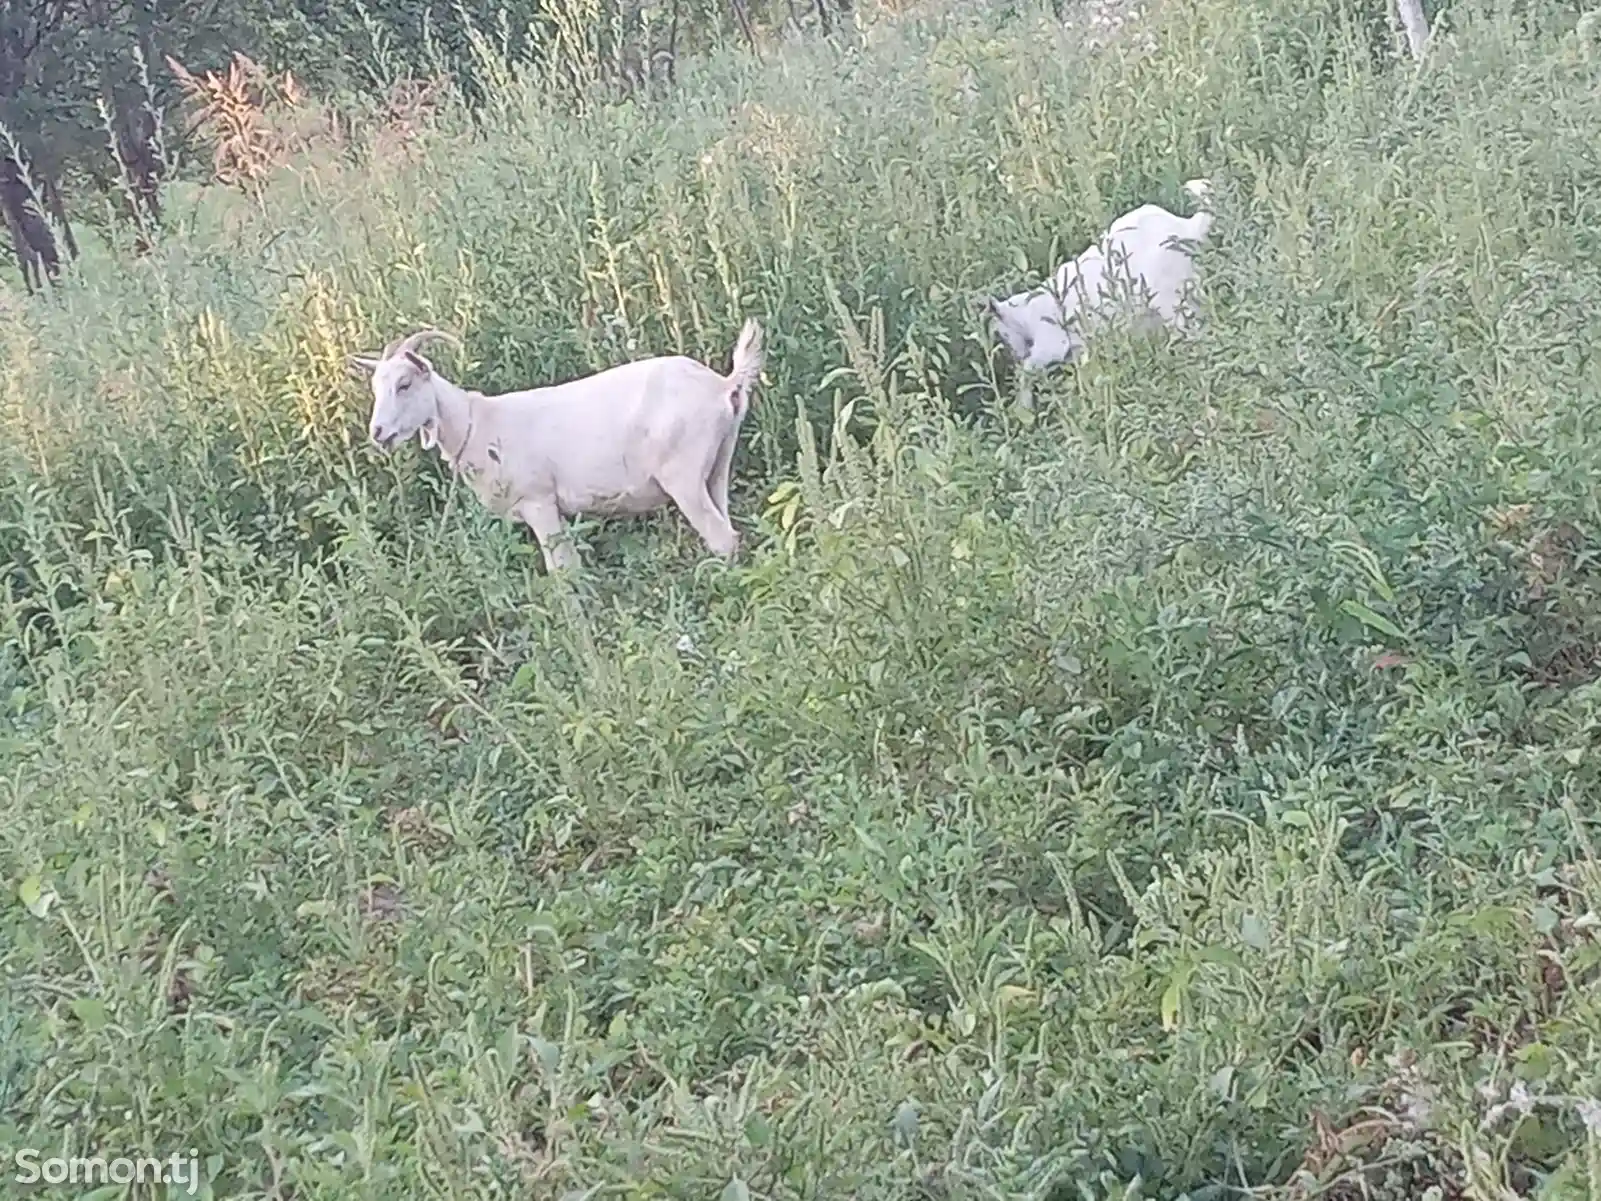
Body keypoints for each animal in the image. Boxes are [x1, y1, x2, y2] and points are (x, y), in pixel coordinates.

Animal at [349, 321, 768, 570]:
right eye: (375, 387)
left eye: (404, 384)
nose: (378, 432)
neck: (478, 423)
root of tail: (724, 384)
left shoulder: (539, 502)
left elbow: (562, 572)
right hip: (717, 463)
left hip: (682, 474)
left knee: (721, 538)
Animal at [986, 178, 1210, 371]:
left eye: (1001, 335)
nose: (1013, 356)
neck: (1025, 314)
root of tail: (1187, 226)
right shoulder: (1078, 347)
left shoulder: (1051, 343)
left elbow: (1029, 370)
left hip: (1168, 299)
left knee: (1190, 330)